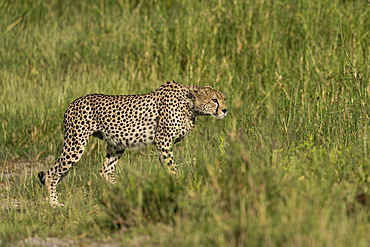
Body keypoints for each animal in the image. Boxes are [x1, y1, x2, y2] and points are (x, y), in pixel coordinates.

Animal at [39, 81, 227, 206]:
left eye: (224, 99)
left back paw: (123, 191)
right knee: (51, 173)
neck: (190, 105)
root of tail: (72, 103)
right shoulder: (163, 141)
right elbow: (172, 169)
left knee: (105, 171)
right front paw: (180, 187)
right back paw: (54, 204)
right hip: (76, 143)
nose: (225, 110)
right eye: (214, 100)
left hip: (117, 144)